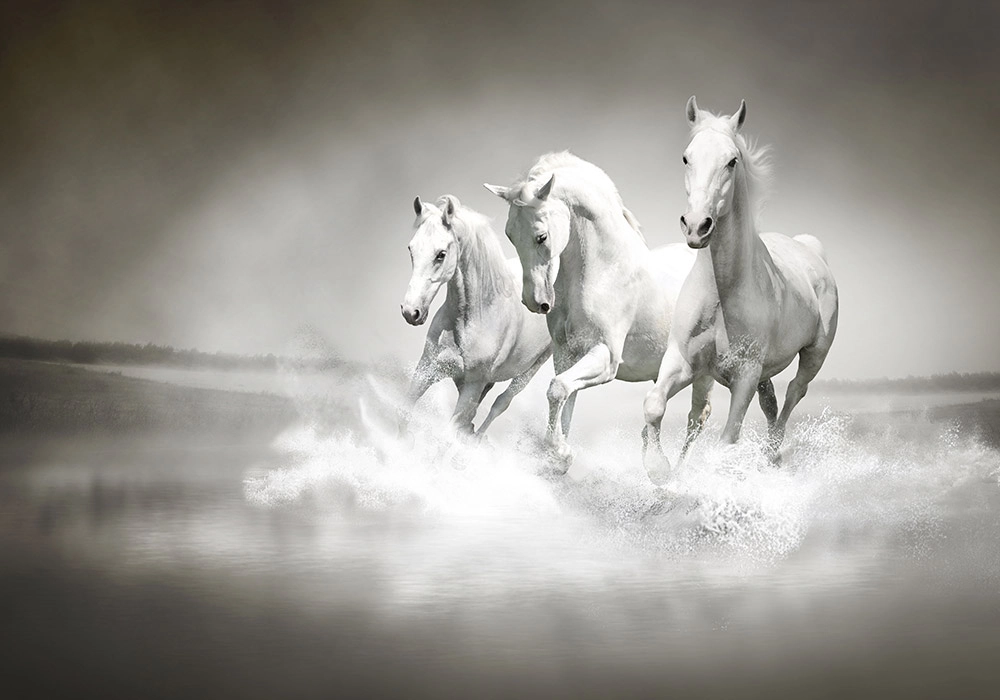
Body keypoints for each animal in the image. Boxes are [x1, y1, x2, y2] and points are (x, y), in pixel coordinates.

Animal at [400, 194, 552, 438]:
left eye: (441, 254)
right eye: (411, 249)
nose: (410, 312)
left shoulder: (473, 385)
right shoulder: (427, 369)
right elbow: (403, 415)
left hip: (531, 369)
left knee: (501, 403)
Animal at [484, 152, 712, 468]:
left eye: (541, 236)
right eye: (509, 235)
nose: (535, 301)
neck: (604, 271)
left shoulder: (605, 357)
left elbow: (557, 389)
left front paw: (561, 452)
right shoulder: (566, 355)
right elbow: (564, 398)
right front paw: (559, 455)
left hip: (704, 373)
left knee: (697, 418)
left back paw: (673, 474)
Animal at [642, 97, 839, 481]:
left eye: (731, 161)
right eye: (686, 157)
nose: (696, 226)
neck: (722, 292)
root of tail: (810, 249)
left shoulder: (744, 375)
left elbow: (727, 439)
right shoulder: (683, 361)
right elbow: (655, 405)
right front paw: (659, 470)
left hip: (814, 354)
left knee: (794, 393)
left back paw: (771, 454)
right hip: (762, 373)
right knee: (768, 403)